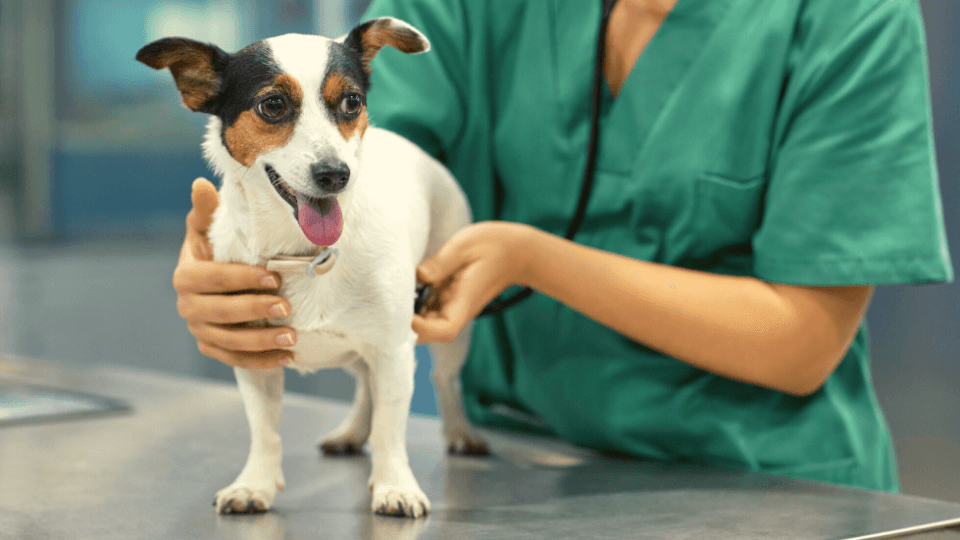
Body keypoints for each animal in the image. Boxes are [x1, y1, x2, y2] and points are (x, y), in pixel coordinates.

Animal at [134, 16, 488, 516]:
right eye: (273, 105)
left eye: (352, 102)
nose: (335, 174)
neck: (304, 254)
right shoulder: (254, 356)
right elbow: (264, 430)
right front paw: (255, 484)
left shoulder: (394, 350)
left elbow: (391, 428)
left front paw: (395, 486)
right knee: (364, 385)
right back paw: (351, 432)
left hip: (448, 324)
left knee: (445, 380)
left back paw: (460, 432)